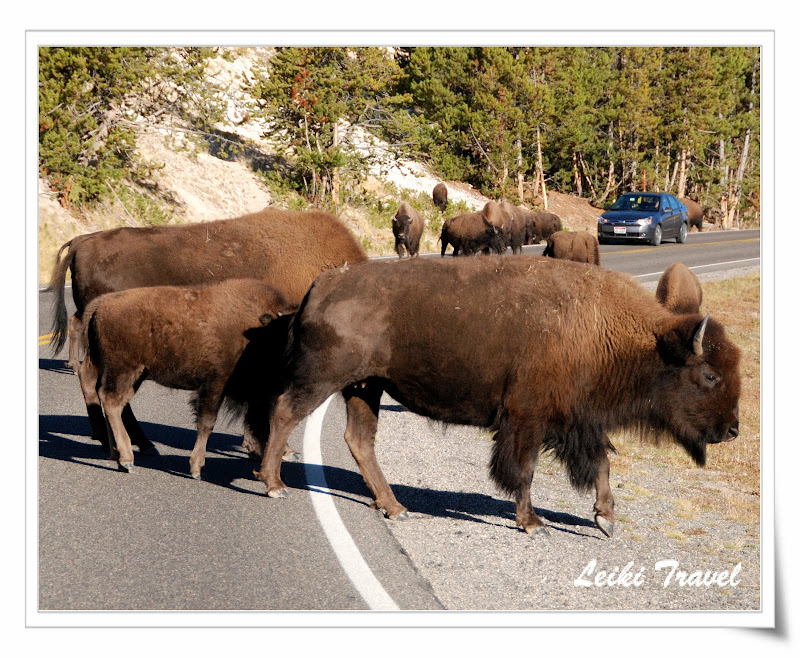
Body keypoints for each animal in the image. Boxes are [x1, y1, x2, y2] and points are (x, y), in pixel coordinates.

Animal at [76, 278, 296, 476]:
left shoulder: (256, 397)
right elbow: (208, 423)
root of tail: (101, 304)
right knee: (111, 401)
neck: (263, 330)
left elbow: (262, 425)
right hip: (125, 371)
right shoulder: (216, 386)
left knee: (110, 400)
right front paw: (197, 468)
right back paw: (127, 458)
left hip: (131, 373)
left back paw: (118, 456)